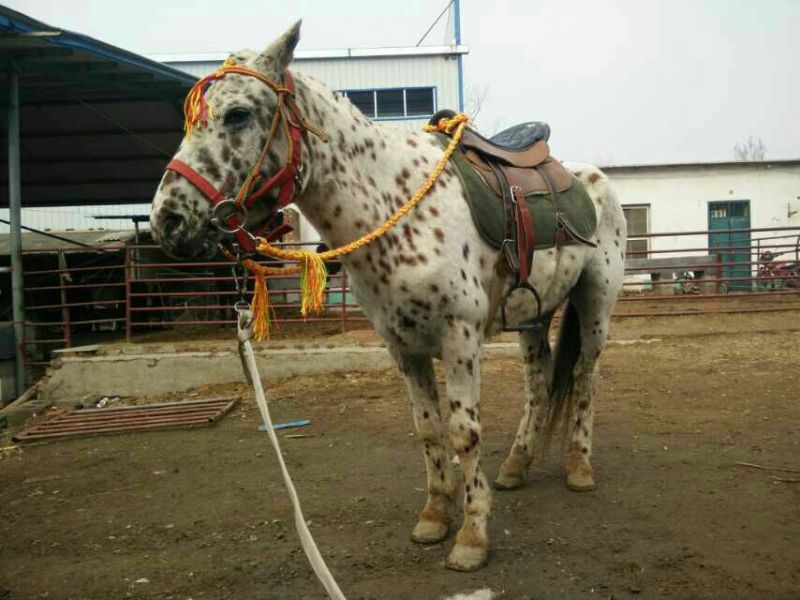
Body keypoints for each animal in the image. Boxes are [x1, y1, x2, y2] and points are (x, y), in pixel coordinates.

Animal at [149, 22, 626, 572]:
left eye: (238, 114)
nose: (167, 221)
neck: (393, 206)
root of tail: (591, 177)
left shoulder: (460, 338)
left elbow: (463, 432)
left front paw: (472, 536)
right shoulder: (402, 345)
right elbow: (429, 429)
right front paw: (435, 516)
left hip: (595, 305)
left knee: (585, 378)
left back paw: (579, 468)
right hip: (534, 314)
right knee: (539, 382)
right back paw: (516, 464)